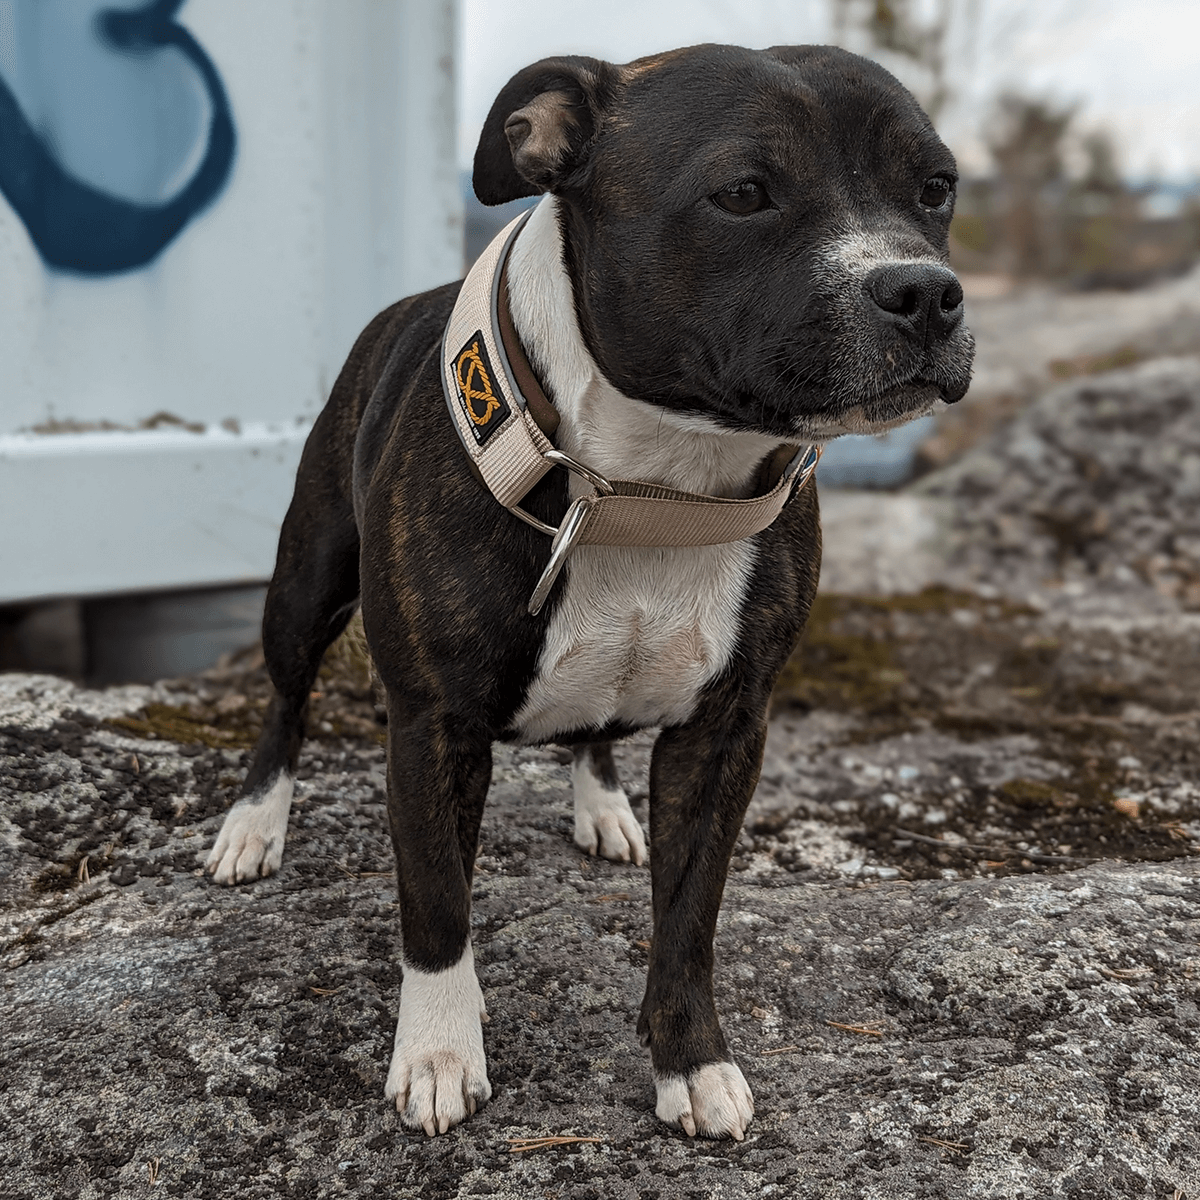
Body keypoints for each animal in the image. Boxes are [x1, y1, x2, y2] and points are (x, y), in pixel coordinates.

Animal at [206, 42, 974, 1137]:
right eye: (745, 193)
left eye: (937, 187)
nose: (924, 291)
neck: (653, 487)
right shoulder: (431, 725)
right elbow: (436, 900)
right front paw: (439, 1050)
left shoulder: (727, 727)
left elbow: (689, 916)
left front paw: (691, 1060)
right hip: (305, 582)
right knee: (286, 698)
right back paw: (253, 825)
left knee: (595, 731)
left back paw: (604, 805)